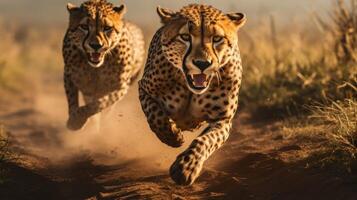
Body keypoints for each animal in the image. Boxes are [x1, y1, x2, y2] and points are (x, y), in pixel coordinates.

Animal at [63, 0, 144, 130]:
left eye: (107, 28)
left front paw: (78, 119)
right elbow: (72, 99)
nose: (96, 45)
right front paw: (74, 120)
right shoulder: (70, 76)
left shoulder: (121, 87)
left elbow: (101, 103)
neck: (96, 68)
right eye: (84, 27)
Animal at [138, 3, 246, 185]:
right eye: (185, 37)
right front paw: (172, 136)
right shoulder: (144, 89)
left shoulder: (223, 119)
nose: (202, 64)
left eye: (217, 39)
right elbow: (156, 117)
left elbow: (206, 140)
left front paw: (186, 167)